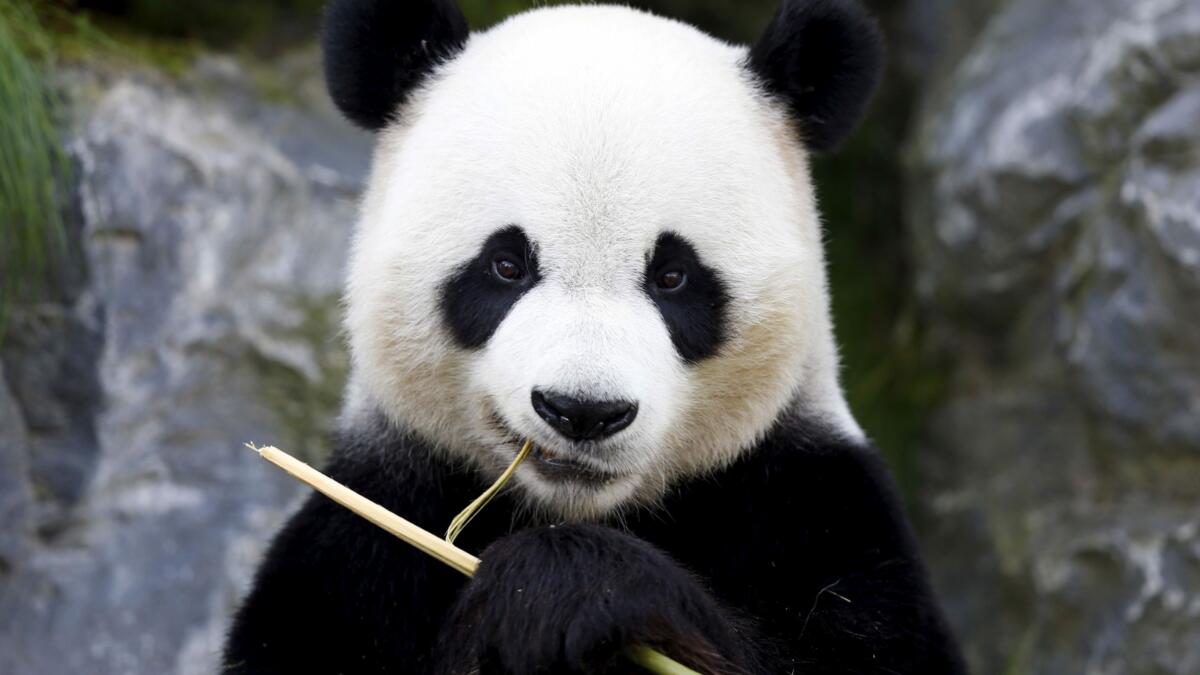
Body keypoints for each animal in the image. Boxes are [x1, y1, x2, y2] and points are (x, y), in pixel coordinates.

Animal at [224, 0, 967, 673]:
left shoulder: (815, 506)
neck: (574, 509)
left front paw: (562, 591)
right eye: (506, 264)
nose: (583, 411)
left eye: (673, 275)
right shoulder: (364, 531)